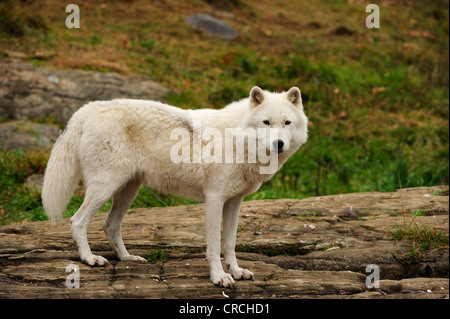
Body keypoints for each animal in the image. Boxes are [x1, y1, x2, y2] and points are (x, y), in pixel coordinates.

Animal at [42, 86, 308, 288]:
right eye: (266, 122)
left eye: (287, 123)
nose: (279, 143)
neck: (238, 138)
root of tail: (89, 108)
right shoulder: (214, 199)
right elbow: (214, 245)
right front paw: (219, 277)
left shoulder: (234, 201)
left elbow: (230, 243)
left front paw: (236, 271)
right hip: (104, 188)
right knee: (77, 221)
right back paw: (89, 259)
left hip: (128, 190)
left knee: (110, 225)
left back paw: (128, 258)